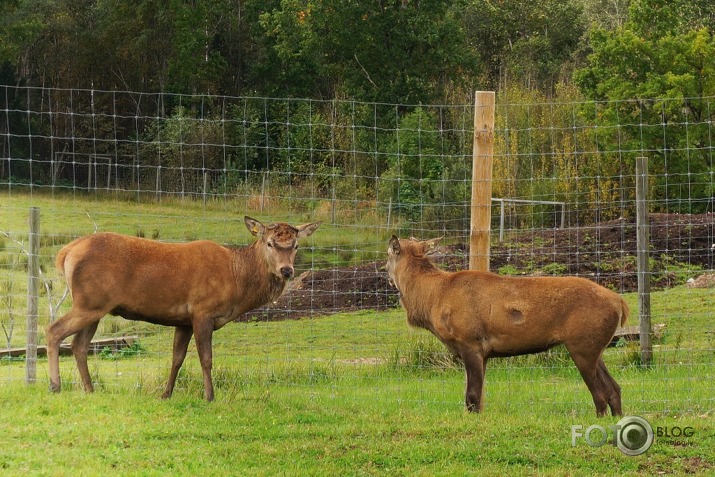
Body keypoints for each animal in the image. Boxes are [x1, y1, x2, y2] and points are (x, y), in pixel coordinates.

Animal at [47, 218, 322, 400]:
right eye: (269, 243)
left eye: (296, 245)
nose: (286, 270)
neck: (236, 279)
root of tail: (65, 253)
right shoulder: (202, 311)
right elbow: (206, 358)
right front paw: (209, 396)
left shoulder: (183, 320)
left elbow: (177, 358)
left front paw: (166, 394)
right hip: (89, 302)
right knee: (54, 330)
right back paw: (55, 385)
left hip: (96, 306)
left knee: (79, 345)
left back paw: (90, 389)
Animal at [388, 236, 628, 414]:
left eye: (388, 255)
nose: (386, 274)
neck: (433, 300)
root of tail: (620, 303)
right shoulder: (483, 352)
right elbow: (477, 398)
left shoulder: (470, 341)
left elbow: (472, 396)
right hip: (593, 347)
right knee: (614, 389)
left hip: (581, 346)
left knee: (600, 395)